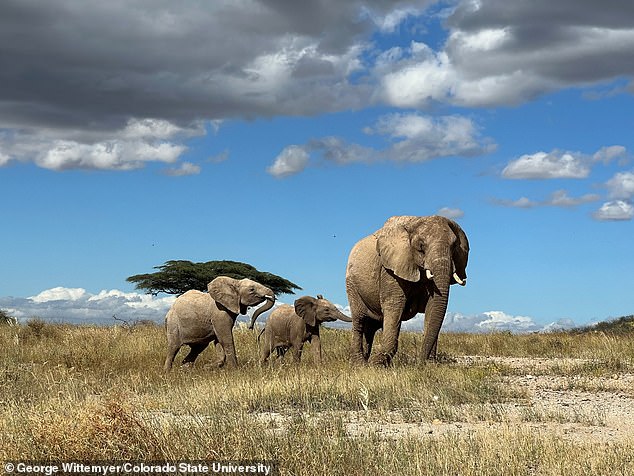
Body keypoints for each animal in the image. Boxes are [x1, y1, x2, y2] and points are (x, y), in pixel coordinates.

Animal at [344, 216, 466, 364]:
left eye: (454, 246)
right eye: (421, 246)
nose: (420, 363)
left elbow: (433, 307)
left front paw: (430, 364)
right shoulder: (389, 269)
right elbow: (394, 305)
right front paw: (376, 364)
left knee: (371, 327)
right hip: (351, 284)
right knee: (359, 321)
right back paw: (360, 363)